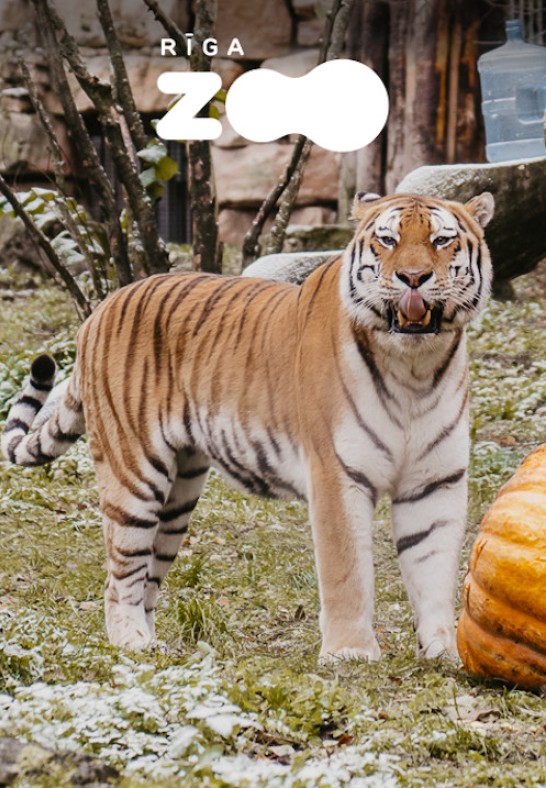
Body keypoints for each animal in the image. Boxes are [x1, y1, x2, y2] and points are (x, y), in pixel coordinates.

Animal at [1, 191, 492, 660]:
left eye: (441, 240)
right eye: (388, 240)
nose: (413, 278)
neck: (414, 368)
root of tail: (99, 311)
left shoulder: (435, 481)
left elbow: (434, 569)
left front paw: (443, 651)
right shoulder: (336, 475)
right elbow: (346, 571)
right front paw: (350, 652)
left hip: (178, 496)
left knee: (148, 578)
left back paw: (155, 644)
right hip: (134, 476)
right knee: (120, 575)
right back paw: (131, 643)